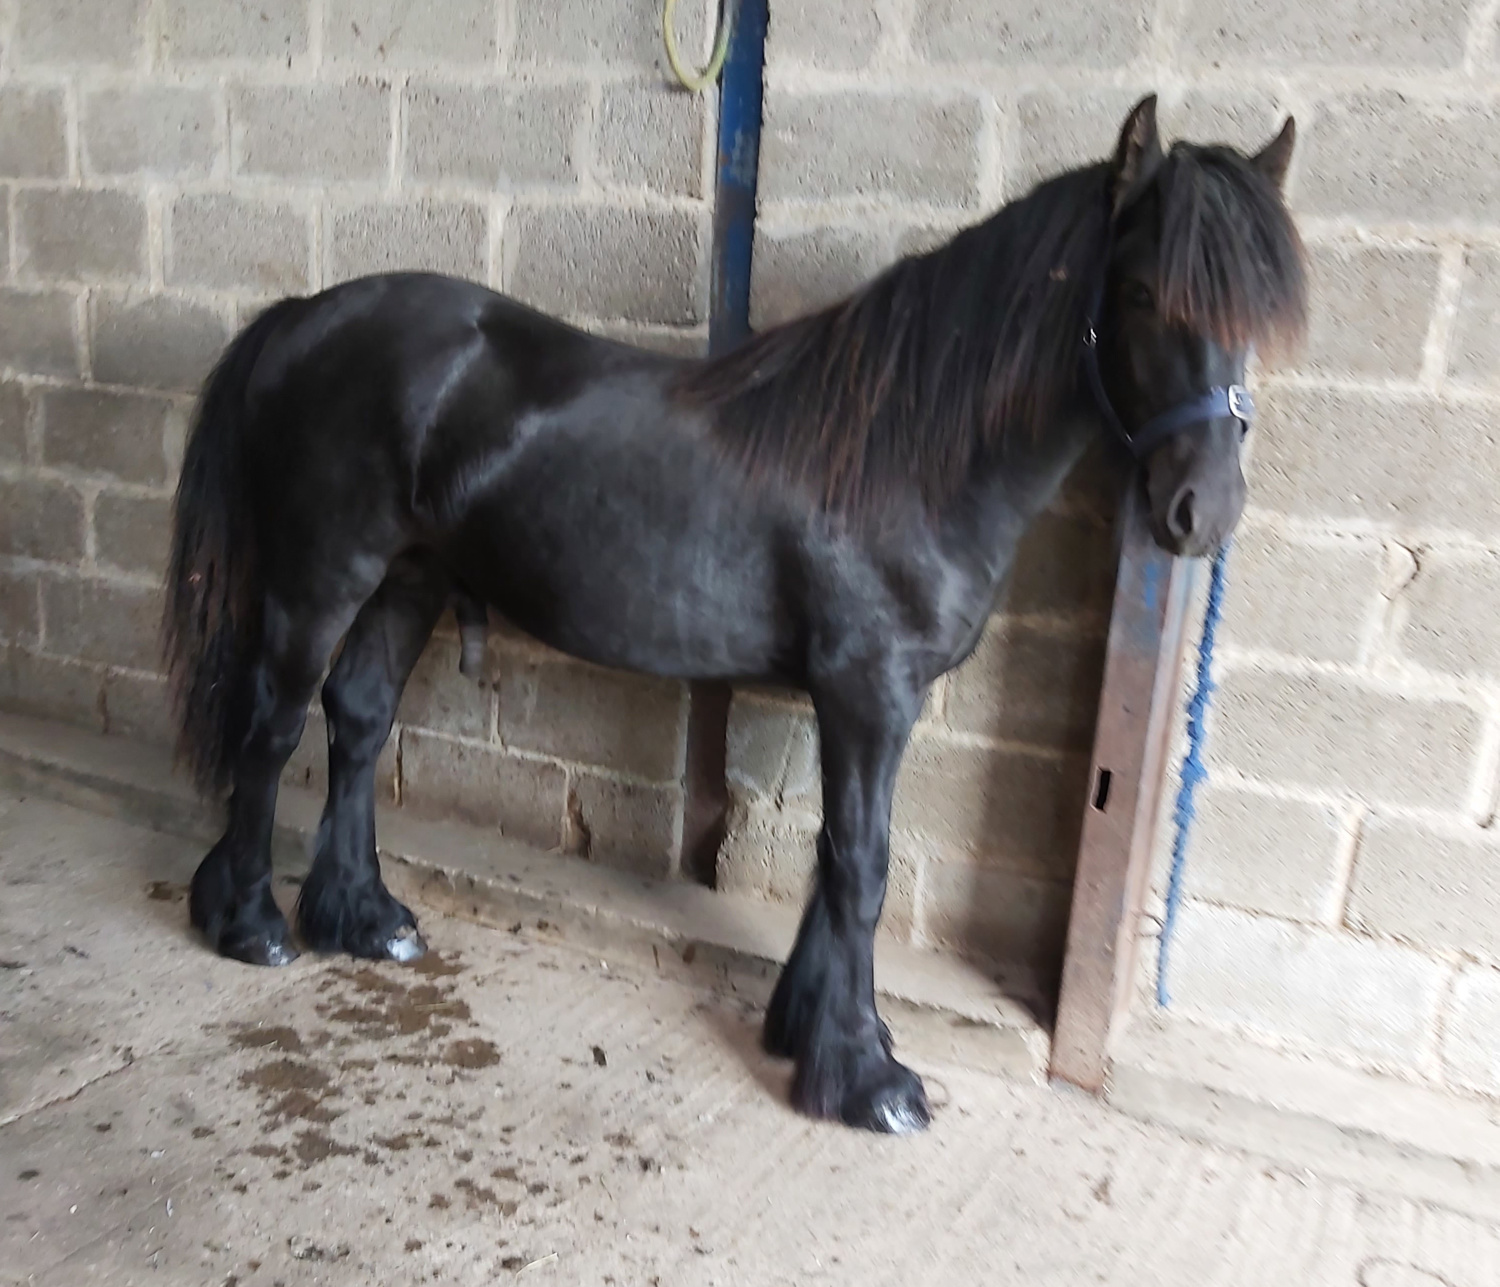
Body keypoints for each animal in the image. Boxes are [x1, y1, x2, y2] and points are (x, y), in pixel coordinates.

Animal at [164, 95, 1308, 1128]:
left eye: (1258, 323)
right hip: (322, 578)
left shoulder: (850, 704)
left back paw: (361, 917)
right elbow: (863, 866)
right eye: (1146, 292)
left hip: (409, 579)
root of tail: (305, 313)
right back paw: (249, 921)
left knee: (358, 719)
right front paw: (867, 1077)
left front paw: (814, 1030)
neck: (901, 453)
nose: (1202, 512)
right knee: (274, 727)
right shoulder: (867, 694)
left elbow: (833, 854)